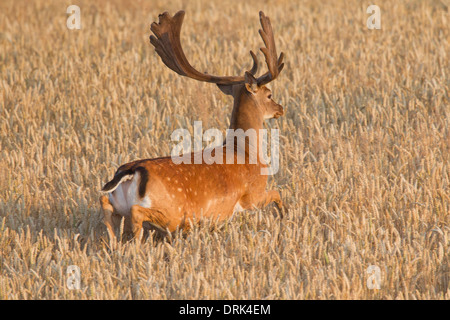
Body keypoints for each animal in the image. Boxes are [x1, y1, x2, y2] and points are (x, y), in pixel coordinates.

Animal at [101, 10, 284, 240]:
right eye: (269, 94)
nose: (280, 108)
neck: (246, 151)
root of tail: (132, 171)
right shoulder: (252, 194)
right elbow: (277, 193)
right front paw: (284, 217)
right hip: (174, 212)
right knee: (138, 212)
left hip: (119, 203)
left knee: (105, 203)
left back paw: (112, 242)